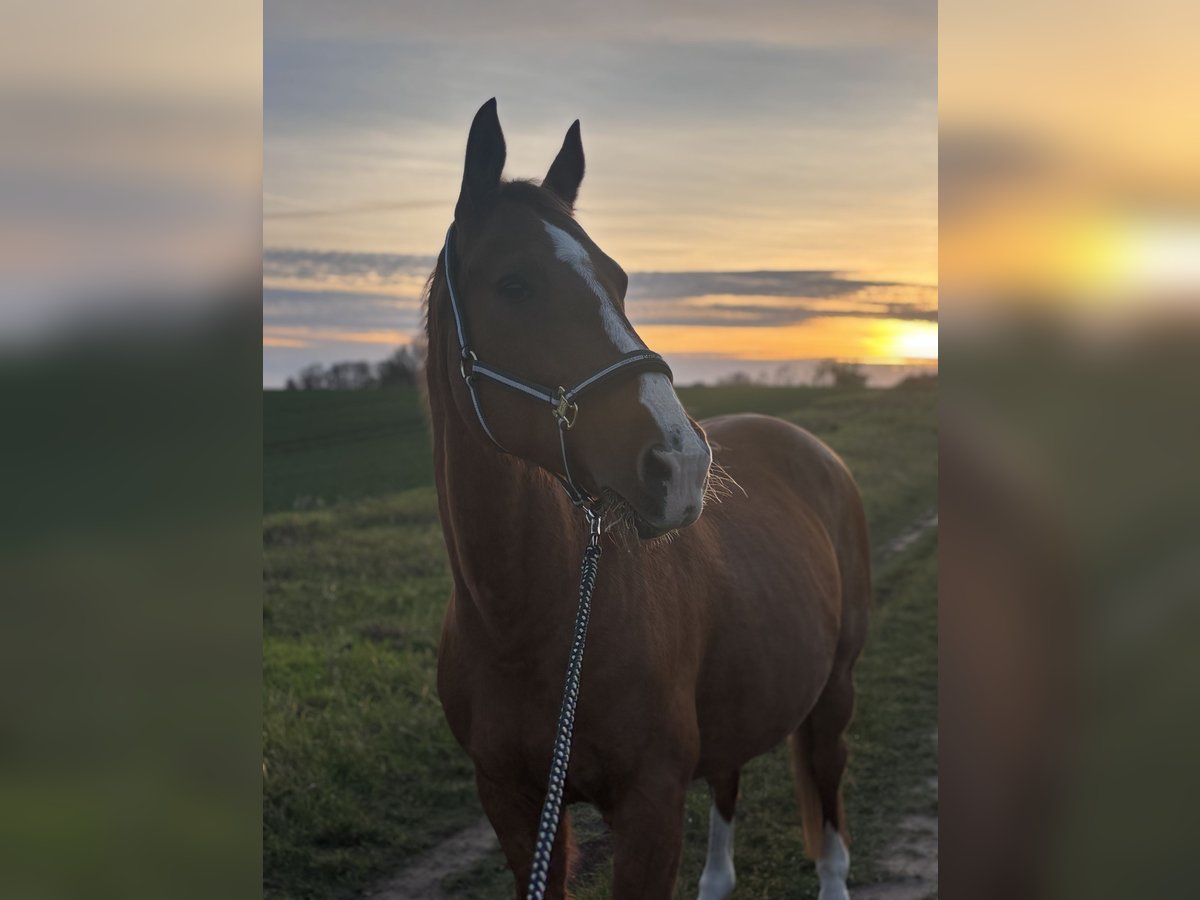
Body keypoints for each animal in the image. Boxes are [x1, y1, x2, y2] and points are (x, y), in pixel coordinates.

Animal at [427, 99, 871, 900]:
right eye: (514, 284)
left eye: (621, 279)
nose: (681, 462)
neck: (525, 622)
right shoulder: (513, 809)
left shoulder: (650, 806)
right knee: (728, 780)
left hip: (836, 693)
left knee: (828, 799)